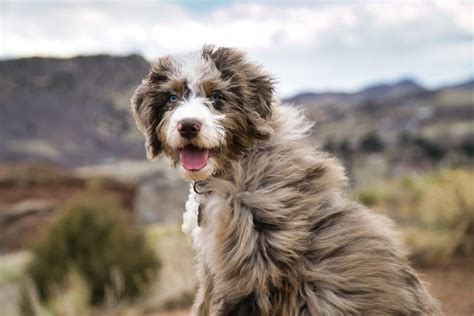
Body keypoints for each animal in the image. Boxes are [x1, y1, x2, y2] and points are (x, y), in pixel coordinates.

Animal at [131, 45, 440, 314]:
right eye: (172, 98)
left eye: (217, 97)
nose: (188, 126)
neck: (237, 166)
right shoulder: (213, 265)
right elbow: (202, 303)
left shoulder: (251, 272)